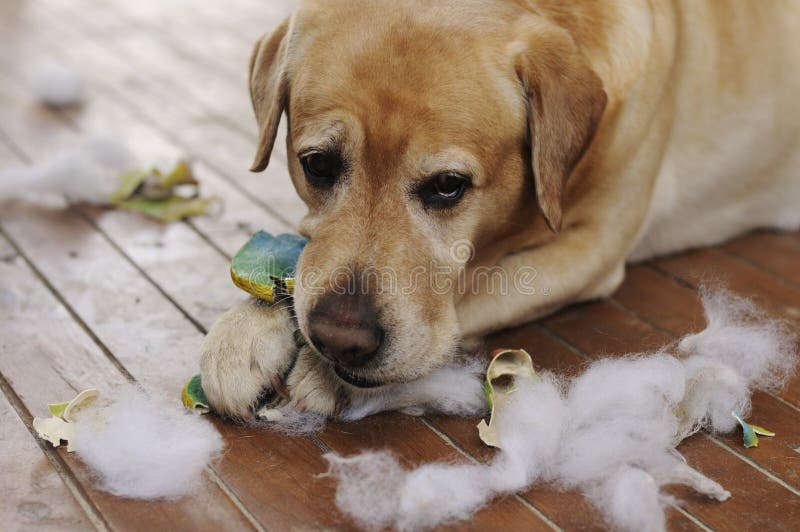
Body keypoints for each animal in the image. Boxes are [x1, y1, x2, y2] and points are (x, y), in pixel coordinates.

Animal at [198, 0, 800, 418]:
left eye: (448, 186)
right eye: (318, 164)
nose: (340, 341)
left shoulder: (591, 248)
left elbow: (475, 283)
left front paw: (320, 371)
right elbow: (301, 269)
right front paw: (247, 331)